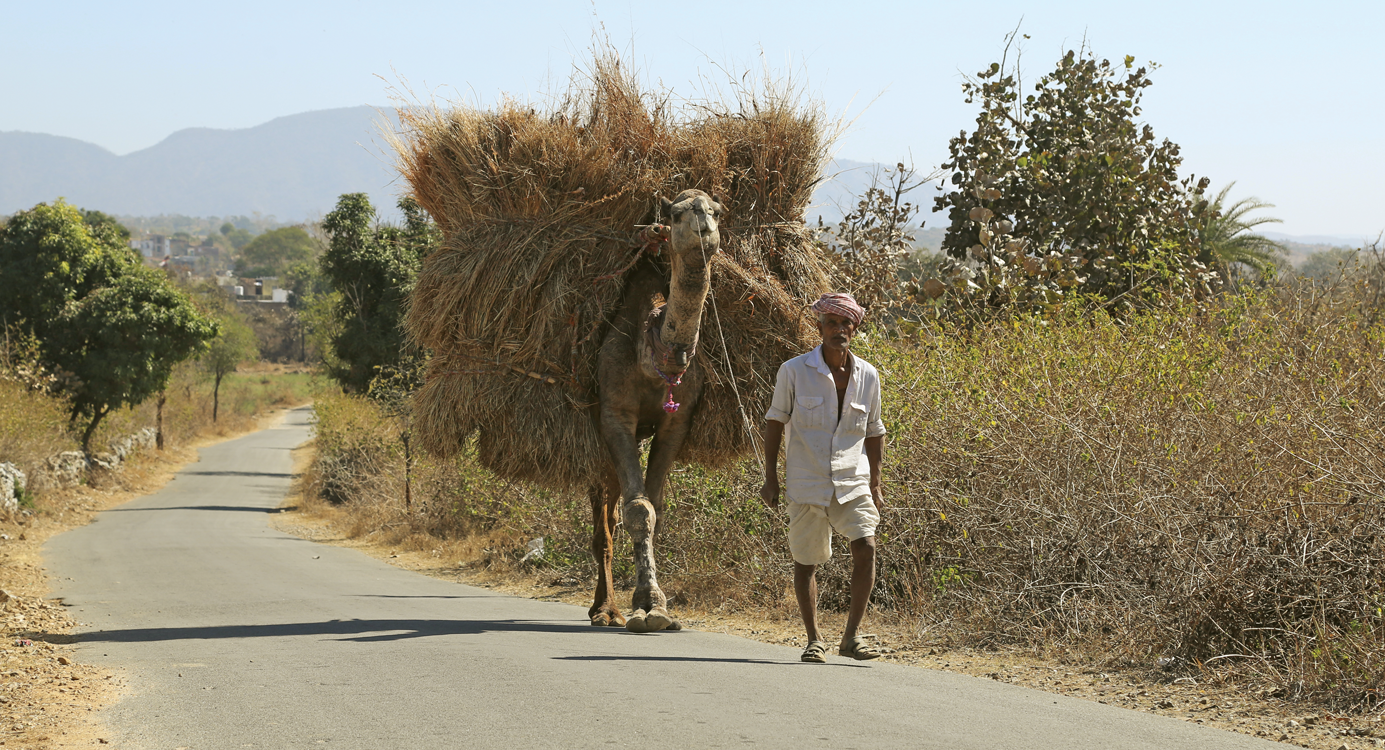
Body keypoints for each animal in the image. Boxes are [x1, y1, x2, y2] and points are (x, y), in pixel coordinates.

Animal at [587, 188, 724, 632]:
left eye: (716, 211)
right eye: (677, 214)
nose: (704, 229)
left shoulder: (677, 421)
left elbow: (657, 508)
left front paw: (659, 608)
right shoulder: (614, 415)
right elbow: (638, 509)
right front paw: (646, 606)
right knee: (603, 520)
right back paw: (604, 610)